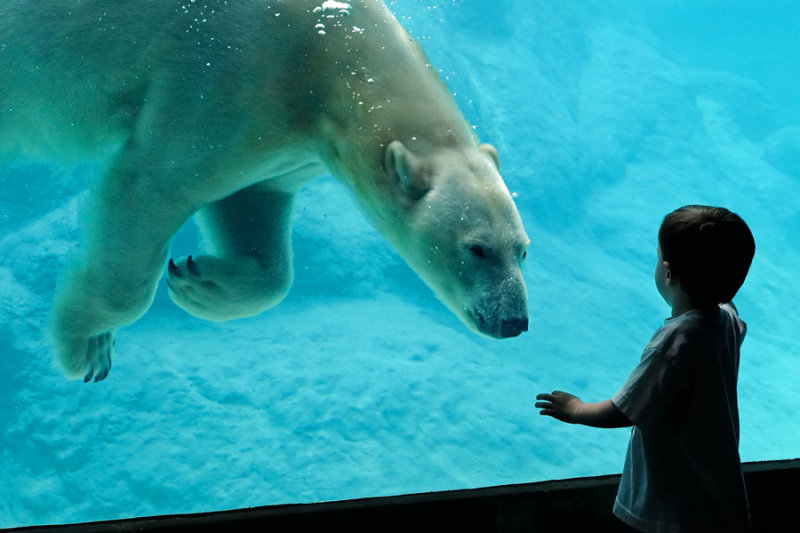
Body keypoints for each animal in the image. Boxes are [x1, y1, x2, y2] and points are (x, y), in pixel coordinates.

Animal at [0, 1, 532, 382]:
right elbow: (155, 182)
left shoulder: (286, 139)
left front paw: (200, 282)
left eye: (522, 250)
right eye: (477, 248)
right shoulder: (227, 76)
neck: (330, 52)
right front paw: (86, 345)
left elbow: (254, 205)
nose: (514, 322)